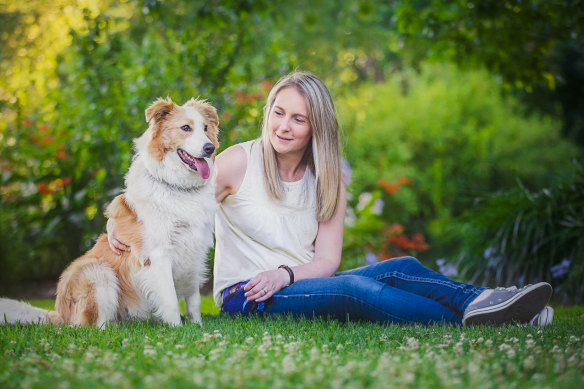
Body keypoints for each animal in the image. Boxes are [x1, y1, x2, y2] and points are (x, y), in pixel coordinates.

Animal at [0, 95, 219, 326]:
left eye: (205, 128)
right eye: (186, 127)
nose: (209, 148)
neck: (178, 188)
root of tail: (59, 313)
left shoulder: (194, 251)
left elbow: (194, 301)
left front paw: (197, 326)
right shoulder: (158, 255)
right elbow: (170, 300)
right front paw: (177, 328)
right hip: (98, 272)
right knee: (89, 327)